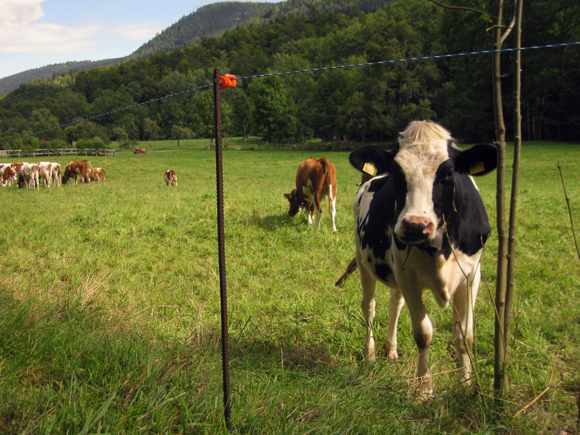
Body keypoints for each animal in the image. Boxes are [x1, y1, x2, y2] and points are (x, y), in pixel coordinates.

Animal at [348, 121, 498, 396]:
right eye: (397, 173)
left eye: (449, 173)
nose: (416, 226)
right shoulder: (408, 275)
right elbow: (423, 333)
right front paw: (424, 388)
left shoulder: (472, 274)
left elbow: (465, 335)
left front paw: (466, 383)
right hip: (364, 260)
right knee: (370, 307)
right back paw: (370, 353)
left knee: (394, 304)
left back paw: (391, 350)